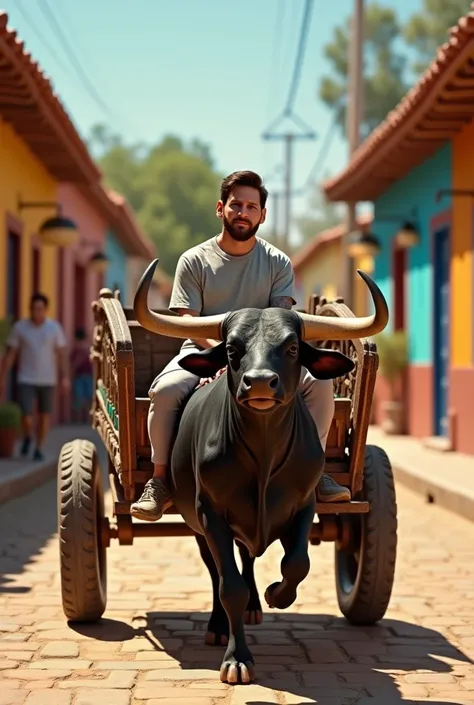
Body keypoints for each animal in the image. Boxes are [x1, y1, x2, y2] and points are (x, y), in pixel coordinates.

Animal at [134, 258, 388, 680]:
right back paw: (218, 625)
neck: (263, 460)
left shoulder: (302, 505)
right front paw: (237, 657)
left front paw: (275, 595)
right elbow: (229, 585)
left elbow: (296, 562)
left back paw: (256, 603)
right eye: (232, 348)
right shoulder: (211, 513)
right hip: (196, 521)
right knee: (218, 570)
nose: (259, 384)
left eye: (291, 347)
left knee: (249, 557)